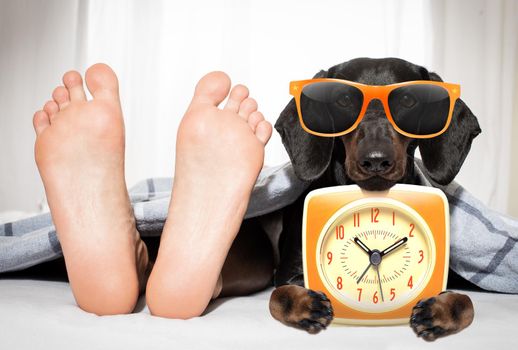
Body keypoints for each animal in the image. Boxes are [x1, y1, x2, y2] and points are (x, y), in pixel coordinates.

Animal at [268, 56, 484, 340]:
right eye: (344, 100)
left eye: (407, 100)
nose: (376, 160)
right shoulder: (288, 271)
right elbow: (280, 295)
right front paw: (307, 305)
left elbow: (466, 302)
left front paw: (438, 312)